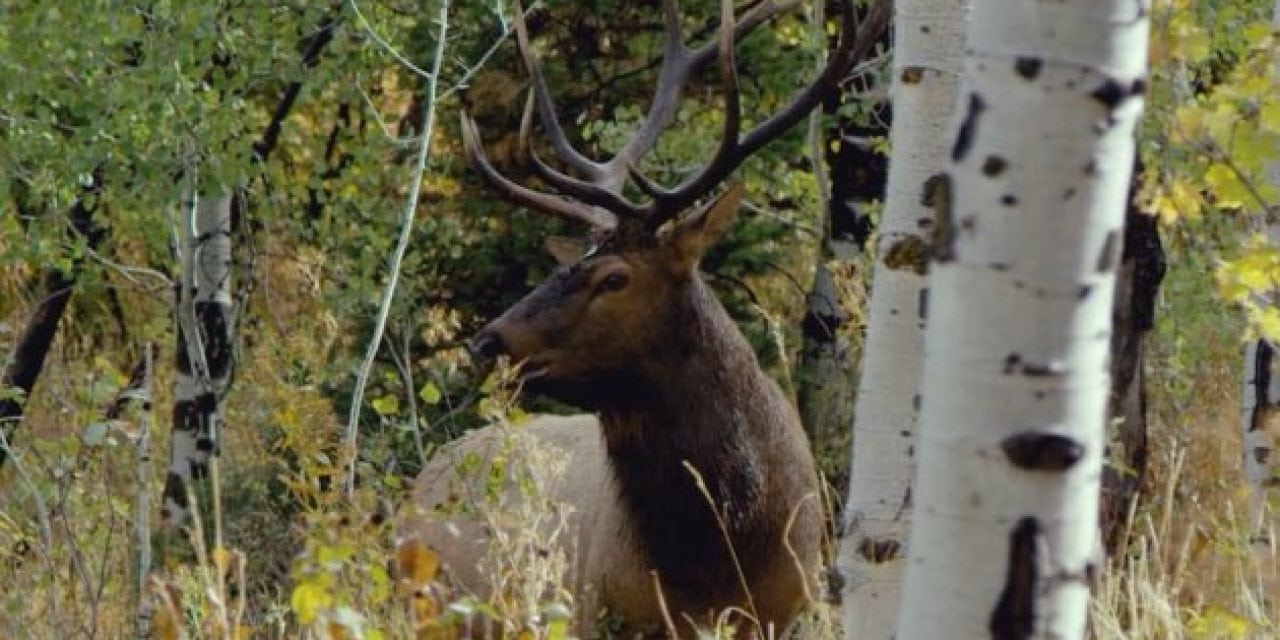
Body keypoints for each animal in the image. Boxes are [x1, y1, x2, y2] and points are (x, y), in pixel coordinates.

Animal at [394, 0, 885, 634]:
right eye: (571, 262)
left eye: (614, 277)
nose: (486, 342)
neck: (724, 561)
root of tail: (423, 481)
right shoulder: (595, 614)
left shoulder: (792, 613)